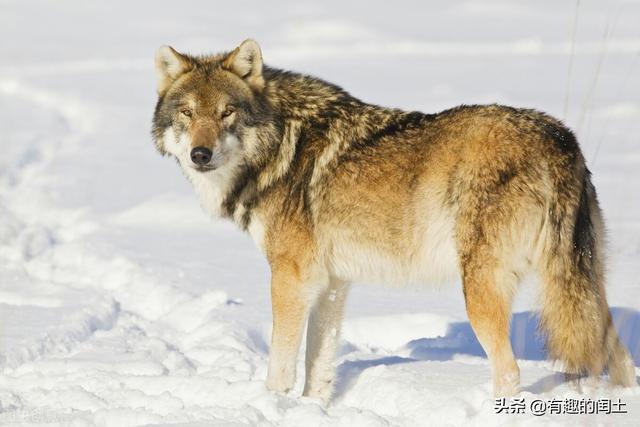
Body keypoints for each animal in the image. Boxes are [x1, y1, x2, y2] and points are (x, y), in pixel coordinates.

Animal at [152, 38, 636, 402]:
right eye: (187, 113)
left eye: (227, 112)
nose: (200, 154)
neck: (279, 148)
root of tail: (560, 139)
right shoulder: (331, 284)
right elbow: (317, 367)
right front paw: (312, 409)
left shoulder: (290, 279)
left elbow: (280, 367)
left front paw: (273, 406)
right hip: (583, 287)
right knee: (621, 361)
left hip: (482, 292)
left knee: (510, 371)